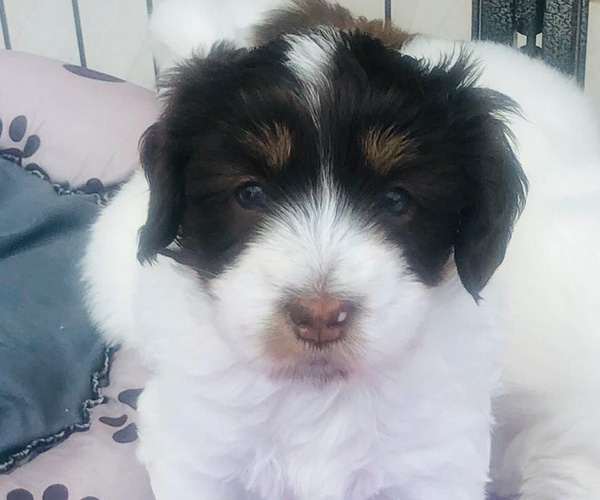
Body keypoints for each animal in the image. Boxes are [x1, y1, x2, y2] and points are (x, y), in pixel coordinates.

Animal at [83, 1, 600, 499]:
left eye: (396, 200)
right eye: (250, 194)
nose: (318, 315)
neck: (318, 397)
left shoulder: (436, 460)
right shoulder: (194, 449)